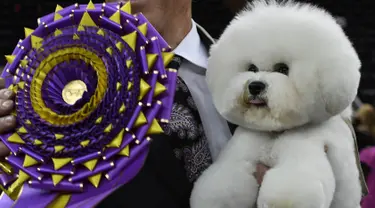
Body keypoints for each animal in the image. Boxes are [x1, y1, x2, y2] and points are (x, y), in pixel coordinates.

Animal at [191, 0, 364, 207]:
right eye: (252, 68)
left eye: (283, 69)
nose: (255, 86)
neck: (274, 133)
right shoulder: (243, 147)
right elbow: (227, 177)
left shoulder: (306, 146)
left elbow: (292, 186)